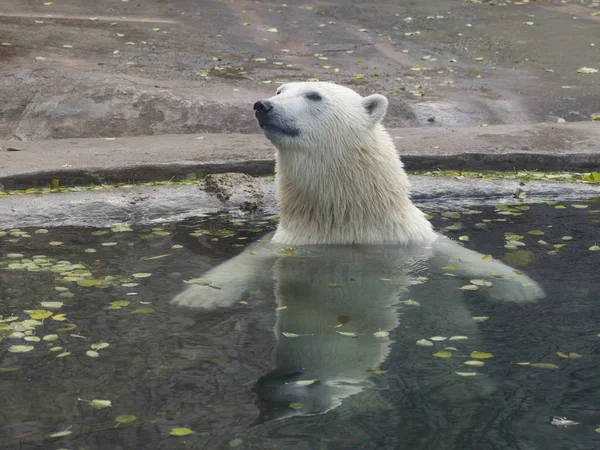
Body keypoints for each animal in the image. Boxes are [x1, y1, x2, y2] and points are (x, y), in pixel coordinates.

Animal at [171, 82, 548, 424]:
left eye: (314, 95)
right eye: (279, 90)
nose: (263, 105)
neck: (347, 218)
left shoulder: (406, 240)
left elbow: (459, 256)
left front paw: (520, 288)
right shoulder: (294, 243)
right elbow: (249, 259)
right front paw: (198, 296)